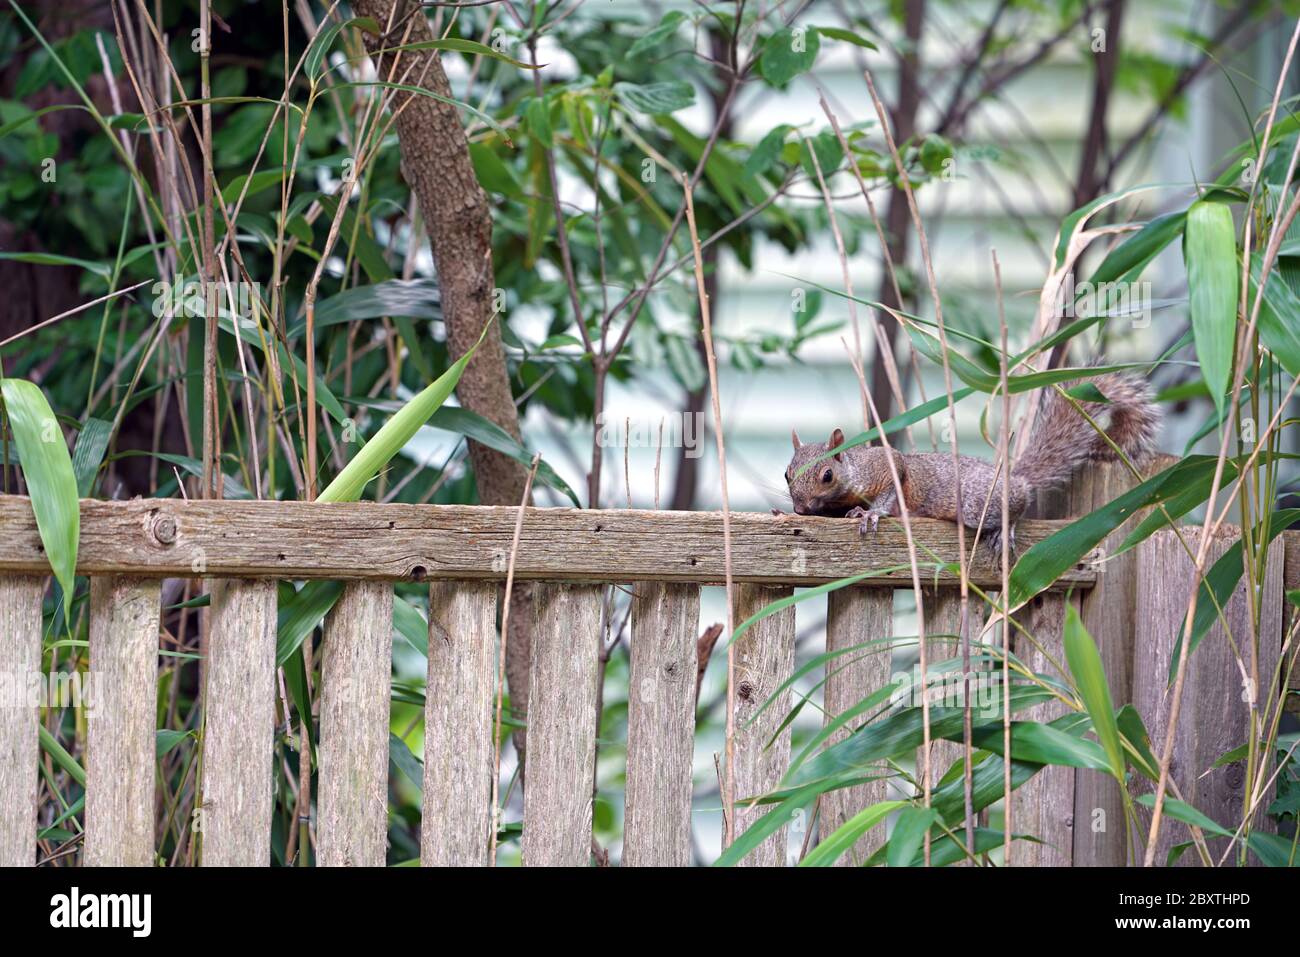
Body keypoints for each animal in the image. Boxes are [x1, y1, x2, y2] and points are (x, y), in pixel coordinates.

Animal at [780, 374, 1159, 553]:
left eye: (827, 475)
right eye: (786, 474)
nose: (799, 508)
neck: (853, 470)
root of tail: (1011, 478)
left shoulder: (885, 467)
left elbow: (892, 484)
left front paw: (870, 513)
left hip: (980, 503)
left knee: (1018, 502)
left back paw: (1006, 527)